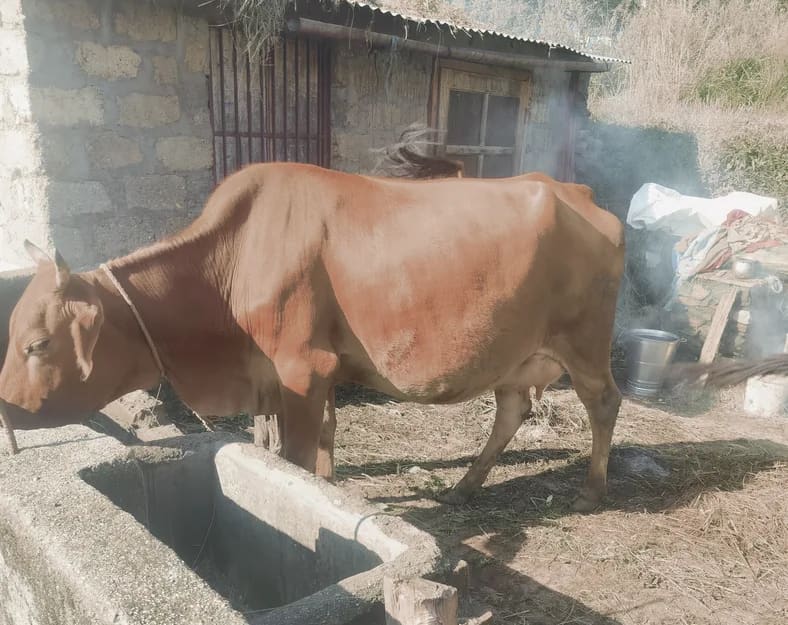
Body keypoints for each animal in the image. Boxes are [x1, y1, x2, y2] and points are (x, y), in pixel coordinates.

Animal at [0, 161, 624, 512]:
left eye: (37, 344)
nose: (5, 406)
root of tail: (577, 193)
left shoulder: (304, 368)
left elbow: (297, 455)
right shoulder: (283, 378)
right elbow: (302, 440)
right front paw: (327, 489)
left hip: (586, 344)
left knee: (603, 402)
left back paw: (592, 492)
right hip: (516, 354)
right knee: (512, 410)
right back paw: (464, 487)